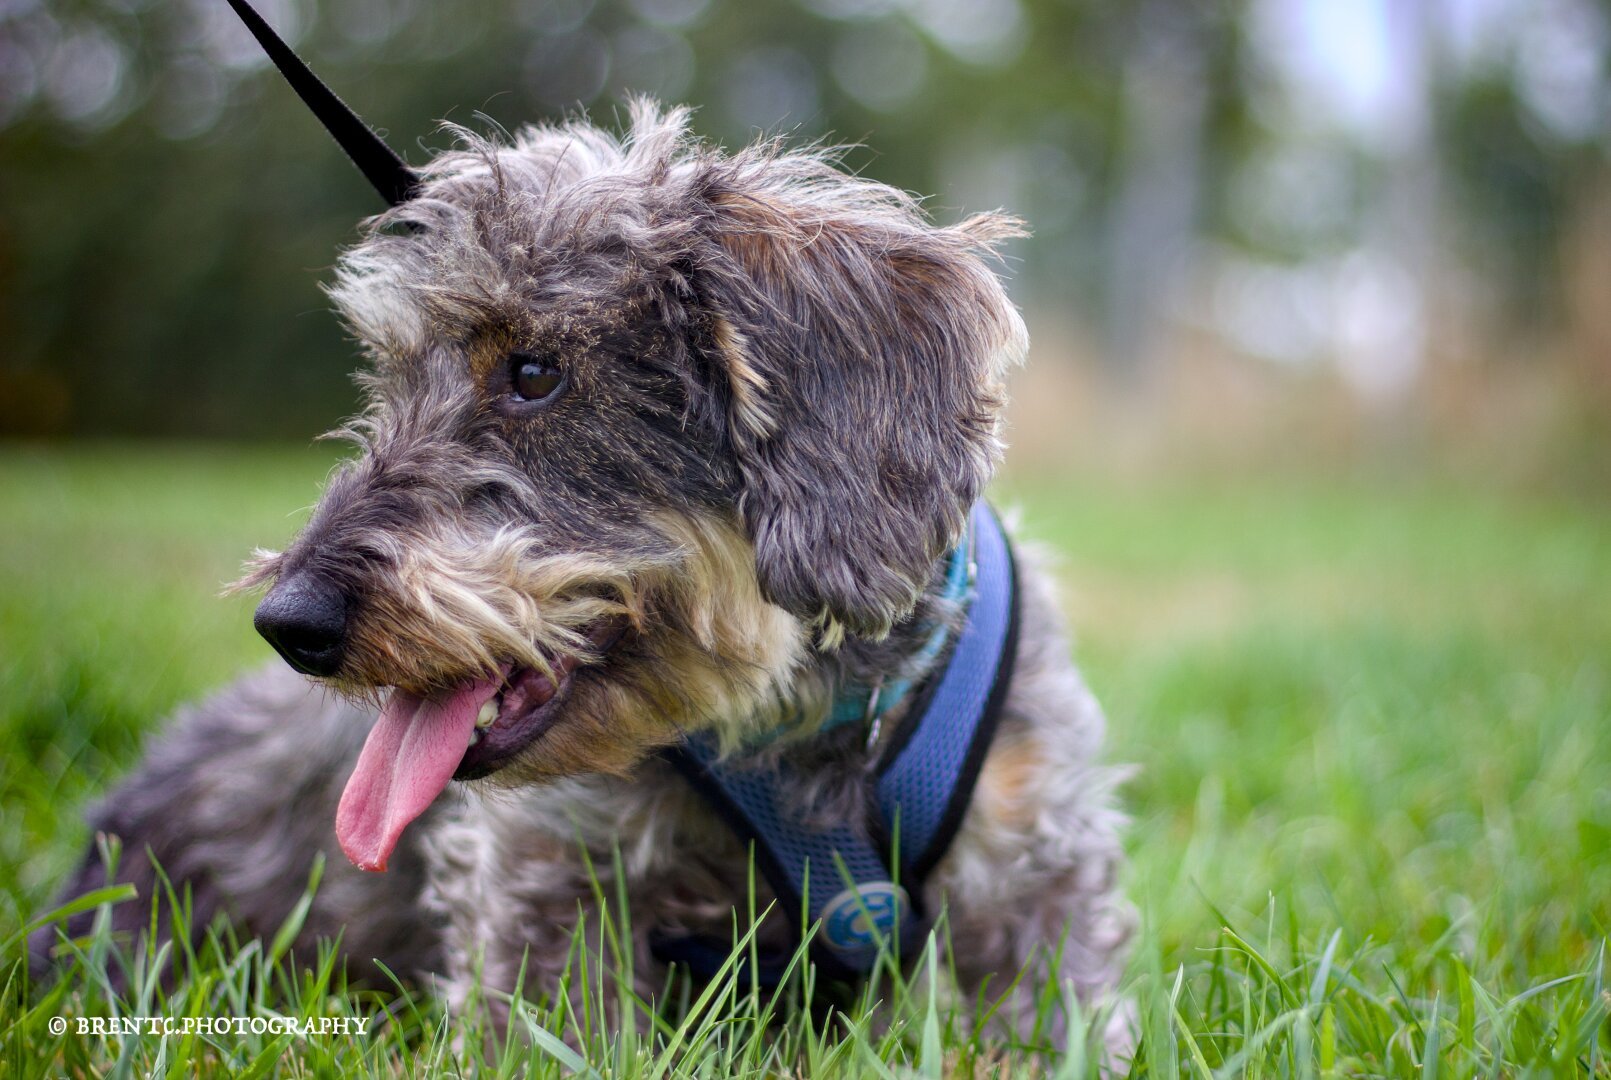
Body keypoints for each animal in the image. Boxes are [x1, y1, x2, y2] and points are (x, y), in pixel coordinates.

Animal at [28, 99, 1134, 1050]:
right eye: (391, 380)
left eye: (533, 373)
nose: (290, 622)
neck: (791, 721)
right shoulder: (553, 877)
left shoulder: (1038, 870)